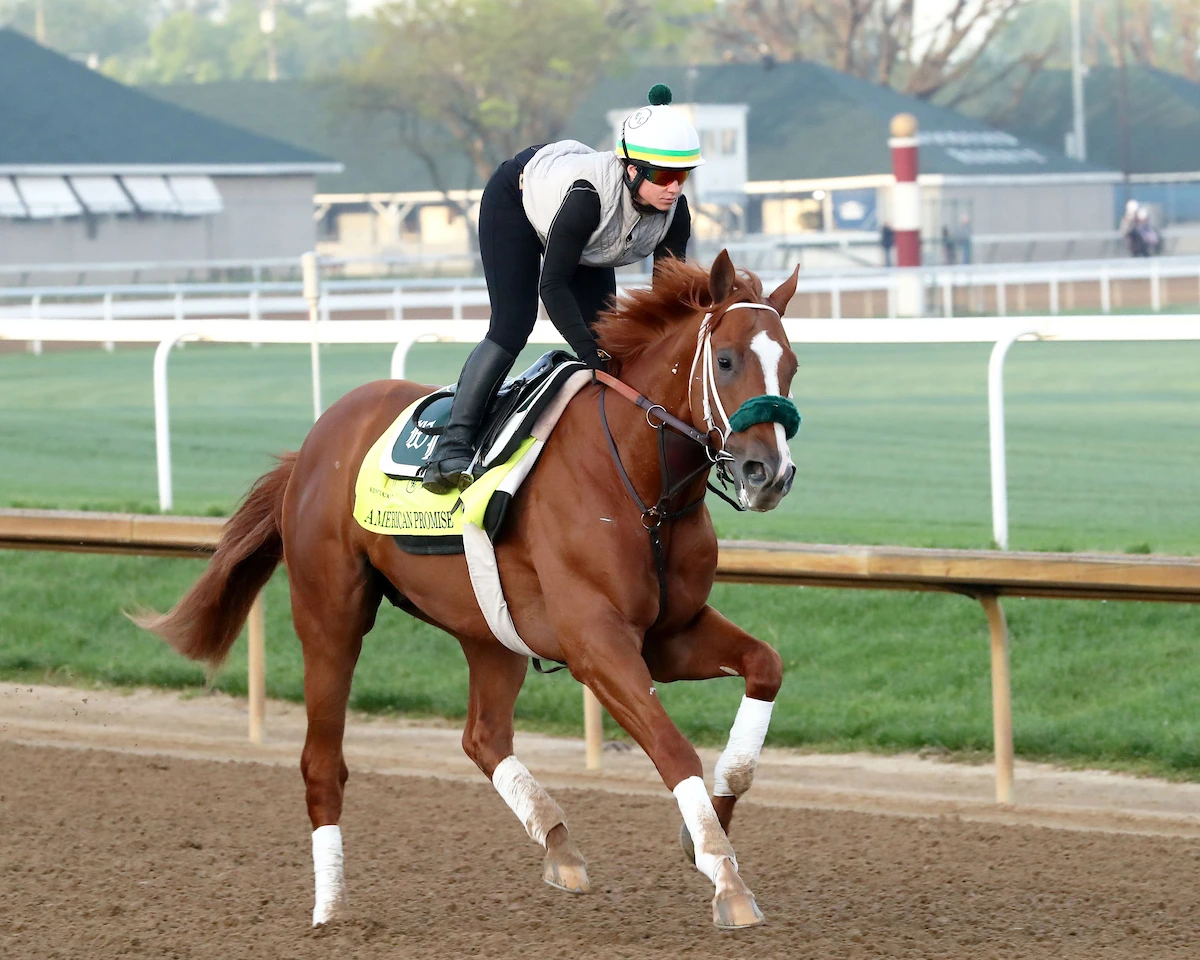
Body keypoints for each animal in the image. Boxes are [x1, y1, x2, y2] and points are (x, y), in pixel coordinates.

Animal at [136, 250, 801, 930]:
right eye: (727, 360)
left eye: (791, 364)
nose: (768, 473)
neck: (643, 490)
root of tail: (313, 444)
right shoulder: (596, 643)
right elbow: (673, 749)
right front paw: (726, 879)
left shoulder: (669, 634)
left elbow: (764, 669)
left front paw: (708, 829)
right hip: (329, 615)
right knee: (322, 761)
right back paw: (330, 911)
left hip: (489, 629)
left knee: (482, 736)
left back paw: (556, 842)